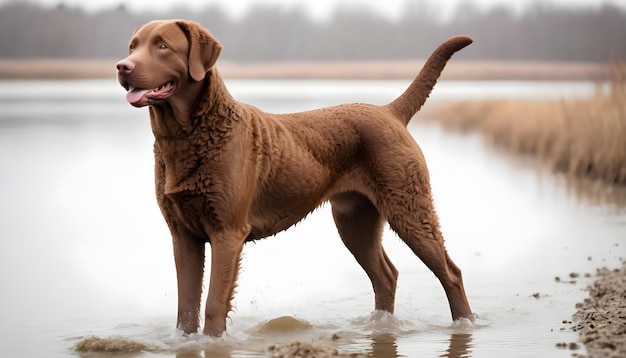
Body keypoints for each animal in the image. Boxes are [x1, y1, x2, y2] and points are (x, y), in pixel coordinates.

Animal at [114, 19, 470, 338]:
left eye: (162, 46)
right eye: (133, 46)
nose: (122, 66)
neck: (185, 138)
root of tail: (389, 111)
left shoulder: (227, 232)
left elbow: (214, 304)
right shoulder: (183, 235)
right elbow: (186, 308)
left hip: (409, 207)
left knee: (450, 272)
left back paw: (464, 323)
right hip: (354, 219)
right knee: (386, 276)